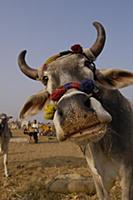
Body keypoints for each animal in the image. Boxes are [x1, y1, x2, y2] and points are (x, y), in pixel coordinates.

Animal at [17, 21, 133, 199]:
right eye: (45, 79)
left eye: (88, 64)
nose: (74, 110)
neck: (104, 144)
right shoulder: (98, 177)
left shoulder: (127, 174)